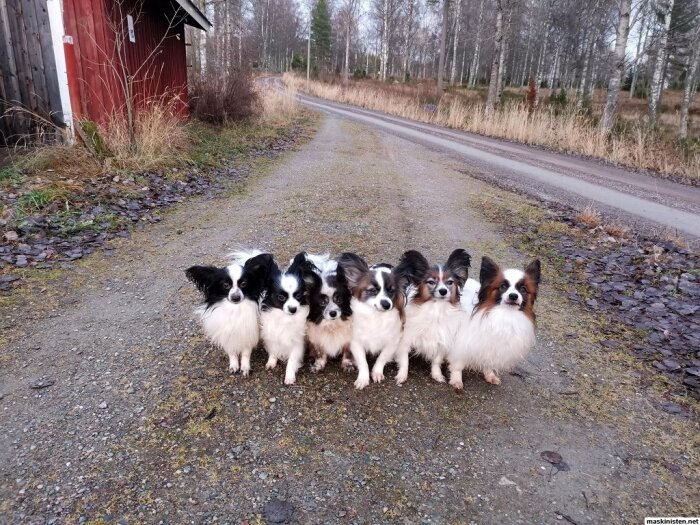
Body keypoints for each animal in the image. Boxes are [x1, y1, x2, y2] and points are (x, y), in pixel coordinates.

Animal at [260, 252, 320, 382]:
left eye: (298, 296)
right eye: (281, 297)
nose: (293, 309)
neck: (285, 317)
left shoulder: (297, 341)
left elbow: (292, 360)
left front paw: (289, 376)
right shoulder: (273, 335)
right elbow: (273, 351)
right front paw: (271, 362)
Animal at [338, 254, 404, 388]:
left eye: (391, 291)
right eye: (373, 291)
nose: (386, 304)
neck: (376, 316)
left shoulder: (392, 341)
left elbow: (382, 358)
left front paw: (377, 373)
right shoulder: (356, 341)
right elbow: (363, 362)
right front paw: (363, 379)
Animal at [394, 248, 470, 382]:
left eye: (450, 282)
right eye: (431, 282)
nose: (443, 291)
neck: (436, 310)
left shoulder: (441, 339)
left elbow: (437, 360)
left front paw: (437, 375)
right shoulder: (406, 339)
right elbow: (404, 361)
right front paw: (402, 376)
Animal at [448, 256, 540, 386]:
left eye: (523, 289)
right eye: (503, 286)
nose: (513, 296)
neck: (506, 314)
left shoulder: (493, 346)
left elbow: (489, 362)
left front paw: (490, 375)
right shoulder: (463, 343)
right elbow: (458, 364)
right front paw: (456, 380)